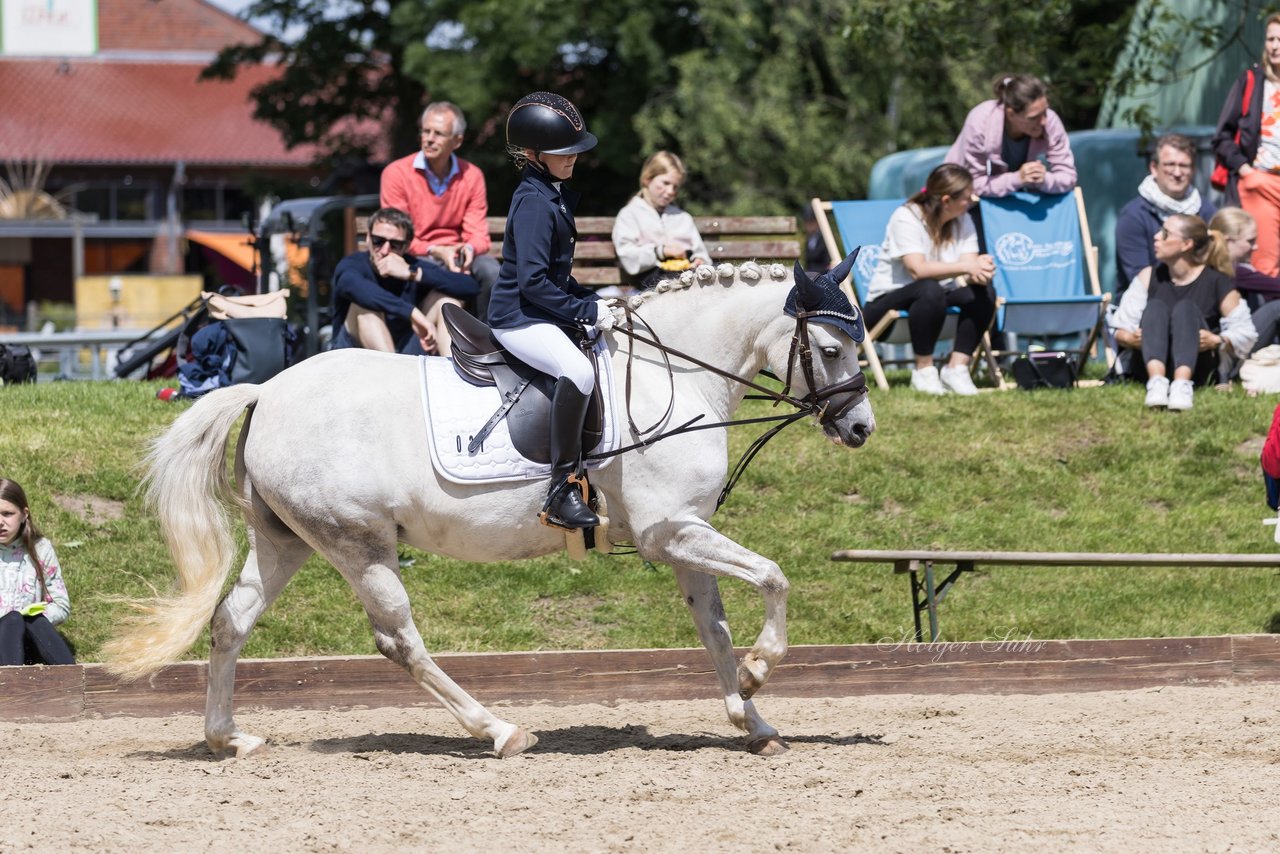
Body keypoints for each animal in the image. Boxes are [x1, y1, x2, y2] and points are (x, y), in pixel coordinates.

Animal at [104, 257, 875, 757]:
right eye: (830, 347)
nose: (861, 428)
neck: (674, 376)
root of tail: (267, 390)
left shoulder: (687, 535)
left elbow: (713, 628)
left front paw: (754, 722)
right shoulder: (670, 533)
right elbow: (774, 577)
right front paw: (758, 670)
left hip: (287, 540)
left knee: (231, 621)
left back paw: (228, 738)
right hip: (358, 541)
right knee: (398, 639)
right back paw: (498, 730)